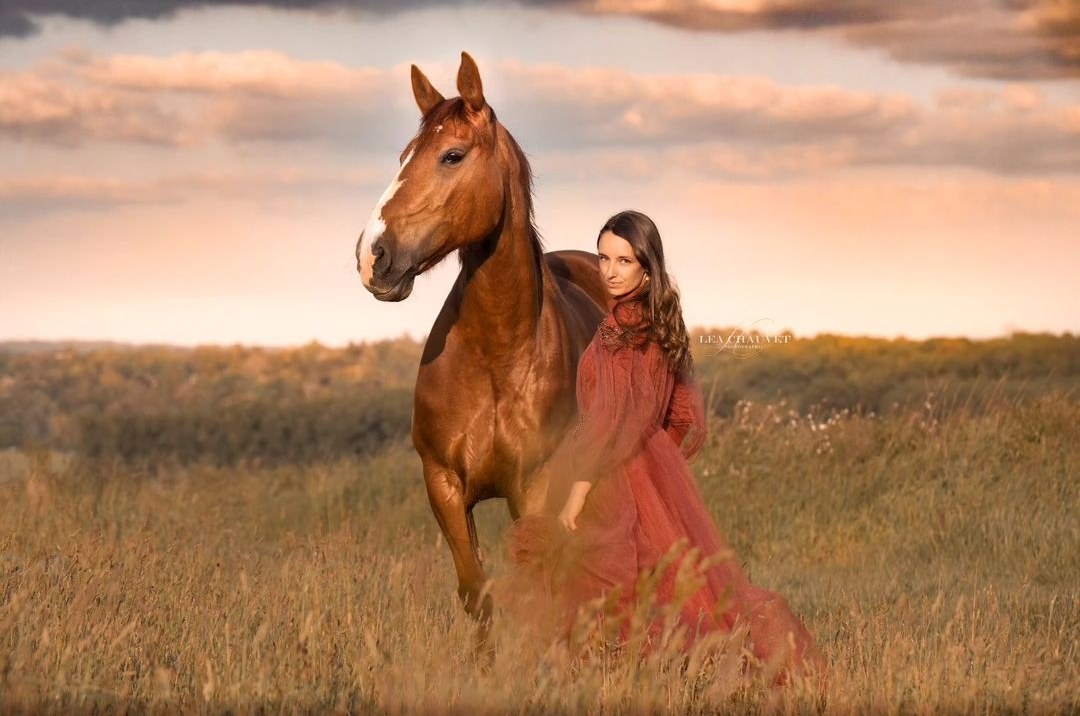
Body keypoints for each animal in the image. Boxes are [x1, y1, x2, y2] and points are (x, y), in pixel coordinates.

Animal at [354, 52, 609, 642]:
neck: (498, 358)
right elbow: (477, 593)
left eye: (452, 155)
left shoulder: (536, 488)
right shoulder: (444, 486)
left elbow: (540, 592)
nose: (371, 256)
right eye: (402, 157)